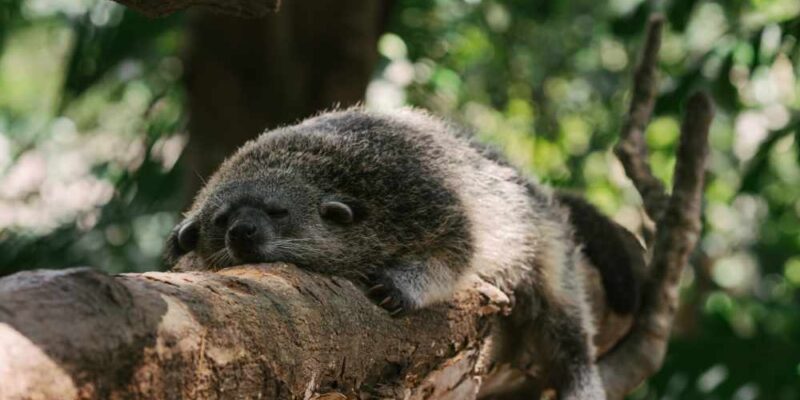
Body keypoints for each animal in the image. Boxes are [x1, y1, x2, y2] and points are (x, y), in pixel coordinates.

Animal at [164, 107, 644, 399]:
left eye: (277, 212)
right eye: (221, 220)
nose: (242, 233)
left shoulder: (419, 193)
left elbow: (459, 248)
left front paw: (405, 284)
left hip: (545, 235)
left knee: (565, 325)